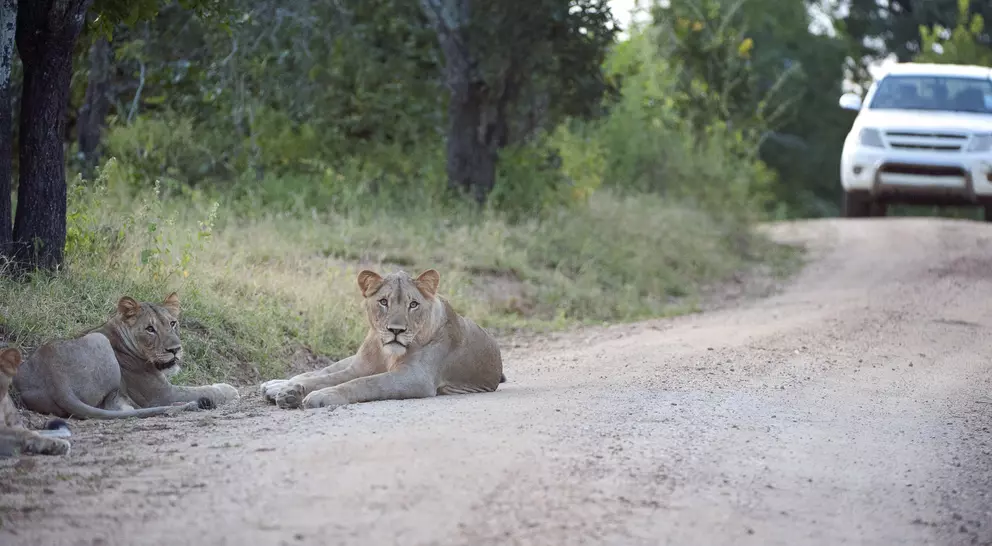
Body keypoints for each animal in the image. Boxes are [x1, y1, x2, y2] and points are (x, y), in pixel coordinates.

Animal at [13, 293, 239, 420]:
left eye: (172, 323)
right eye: (150, 329)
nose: (175, 349)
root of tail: (55, 378)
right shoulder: (162, 393)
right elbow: (202, 389)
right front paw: (229, 389)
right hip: (98, 342)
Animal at [260, 269, 505, 410]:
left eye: (413, 304)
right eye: (383, 302)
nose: (396, 330)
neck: (386, 353)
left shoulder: (414, 378)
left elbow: (364, 383)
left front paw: (321, 395)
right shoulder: (359, 367)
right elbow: (328, 378)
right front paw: (293, 391)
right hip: (352, 360)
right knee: (319, 371)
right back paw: (276, 386)